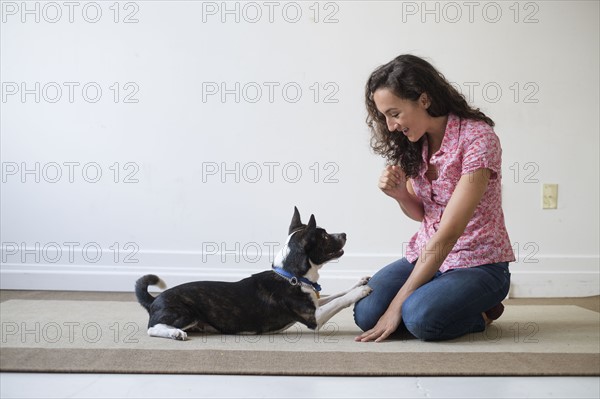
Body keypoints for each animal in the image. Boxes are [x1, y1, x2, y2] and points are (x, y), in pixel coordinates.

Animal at [135, 206, 370, 340]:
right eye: (325, 236)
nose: (344, 234)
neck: (292, 277)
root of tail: (153, 300)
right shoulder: (314, 317)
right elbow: (339, 301)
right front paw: (361, 292)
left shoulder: (315, 303)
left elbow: (336, 295)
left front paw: (360, 282)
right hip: (187, 313)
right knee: (151, 328)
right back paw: (175, 333)